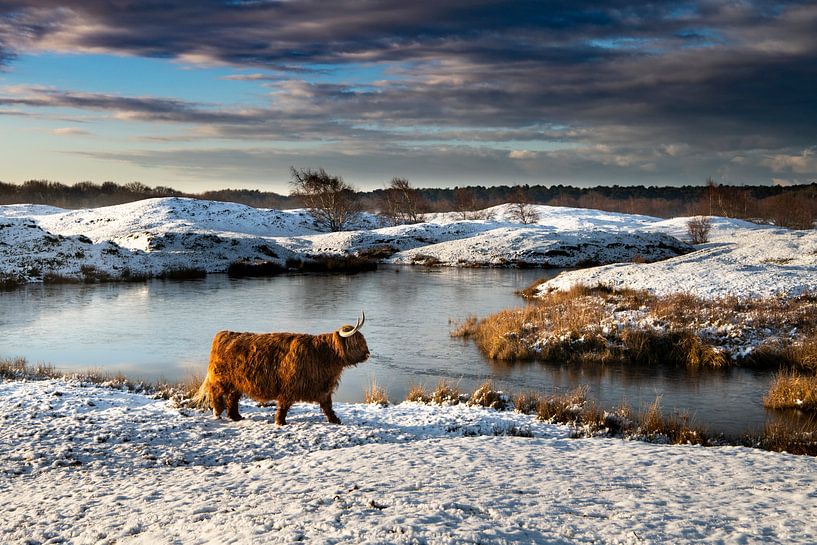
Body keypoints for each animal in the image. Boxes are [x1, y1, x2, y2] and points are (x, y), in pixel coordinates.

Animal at [194, 312, 366, 422]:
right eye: (356, 342)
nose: (368, 353)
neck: (323, 355)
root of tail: (224, 334)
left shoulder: (323, 388)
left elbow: (328, 406)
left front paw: (335, 420)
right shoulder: (289, 386)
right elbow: (283, 405)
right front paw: (280, 422)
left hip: (238, 382)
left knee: (232, 398)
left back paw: (235, 416)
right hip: (221, 379)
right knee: (217, 393)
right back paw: (217, 412)